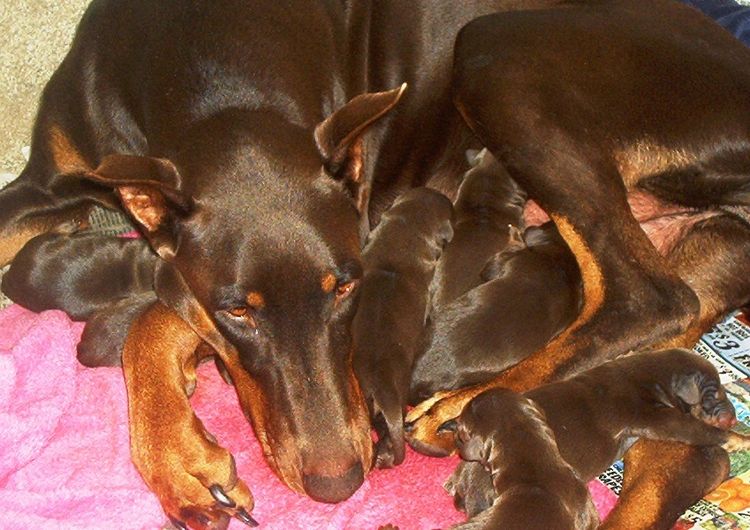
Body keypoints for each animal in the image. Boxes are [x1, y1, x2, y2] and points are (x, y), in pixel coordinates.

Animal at [446, 350, 748, 528]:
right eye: (715, 392)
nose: (734, 418)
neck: (651, 375)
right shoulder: (657, 418)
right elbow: (700, 430)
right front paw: (741, 439)